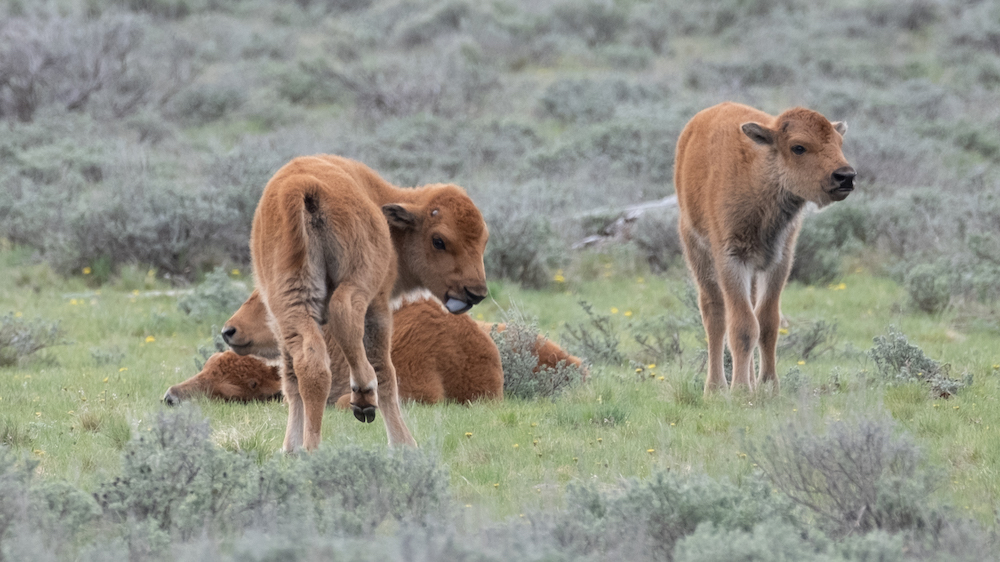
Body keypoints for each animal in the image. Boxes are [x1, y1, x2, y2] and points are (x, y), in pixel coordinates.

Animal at [251, 155, 488, 451]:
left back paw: (308, 447)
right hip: (359, 279)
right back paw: (363, 396)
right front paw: (403, 443)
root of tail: (302, 184)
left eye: (484, 240)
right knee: (344, 313)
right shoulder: (380, 304)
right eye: (439, 241)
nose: (475, 292)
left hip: (288, 298)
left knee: (307, 364)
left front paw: (290, 448)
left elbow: (290, 380)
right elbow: (385, 370)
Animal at [674, 102, 855, 395]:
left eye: (839, 142)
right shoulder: (732, 260)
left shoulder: (778, 262)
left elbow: (767, 322)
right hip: (696, 248)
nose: (846, 176)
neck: (759, 178)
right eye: (798, 147)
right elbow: (743, 326)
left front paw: (768, 387)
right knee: (714, 315)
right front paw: (740, 391)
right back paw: (715, 387)